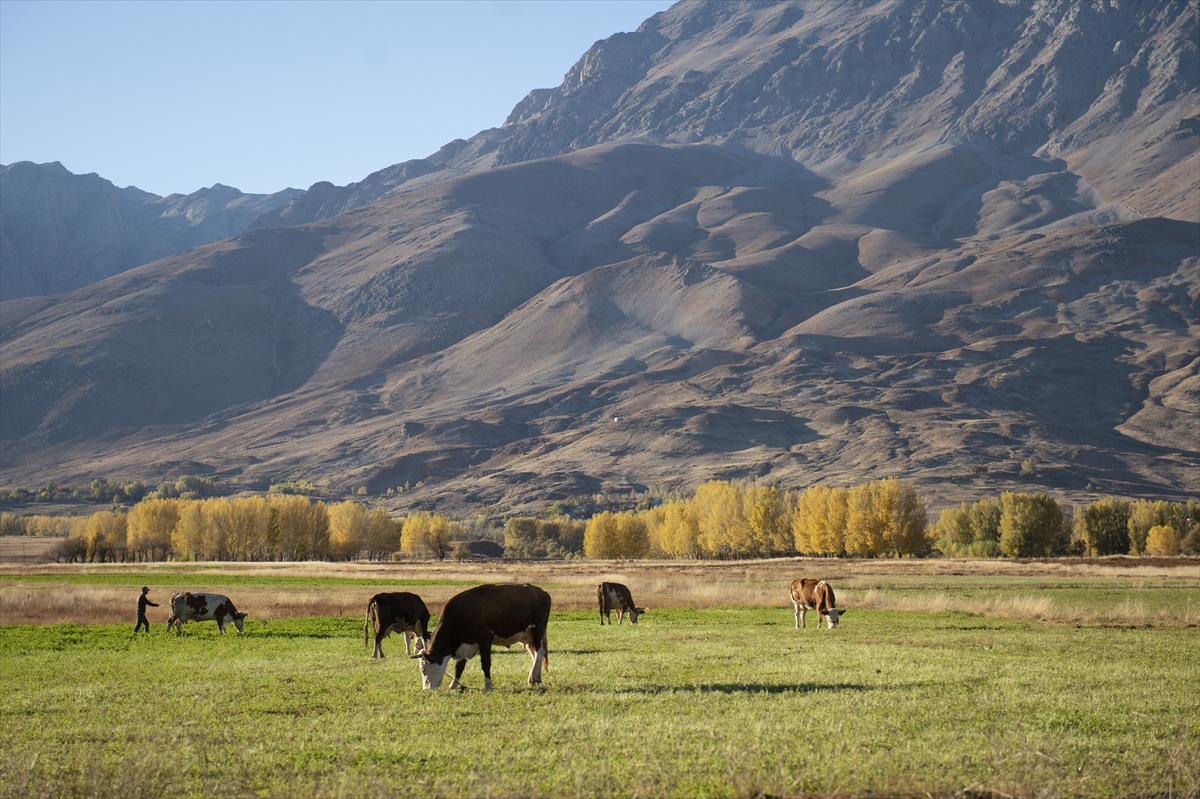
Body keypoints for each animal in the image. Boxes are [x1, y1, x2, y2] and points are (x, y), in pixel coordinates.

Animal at [412, 583, 552, 686]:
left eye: (423, 670)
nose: (426, 689)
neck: (461, 614)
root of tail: (542, 592)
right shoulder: (464, 644)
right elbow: (459, 667)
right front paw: (453, 686)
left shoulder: (485, 639)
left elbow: (485, 663)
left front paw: (488, 685)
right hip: (527, 635)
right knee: (534, 653)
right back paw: (536, 677)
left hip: (538, 629)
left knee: (539, 651)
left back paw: (533, 677)